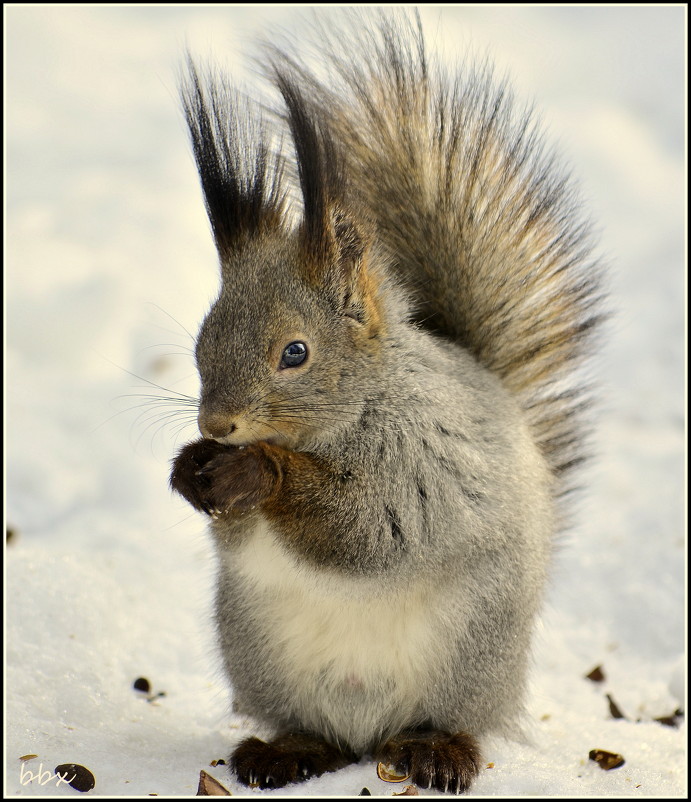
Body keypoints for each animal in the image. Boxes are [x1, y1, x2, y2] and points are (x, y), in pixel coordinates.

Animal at [169, 9, 604, 796]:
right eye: (203, 337)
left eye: (295, 353)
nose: (216, 424)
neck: (358, 404)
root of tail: (368, 728)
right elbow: (236, 538)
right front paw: (191, 469)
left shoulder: (422, 461)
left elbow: (368, 530)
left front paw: (257, 472)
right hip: (261, 653)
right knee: (317, 731)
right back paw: (286, 752)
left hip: (469, 656)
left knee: (446, 720)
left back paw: (436, 753)